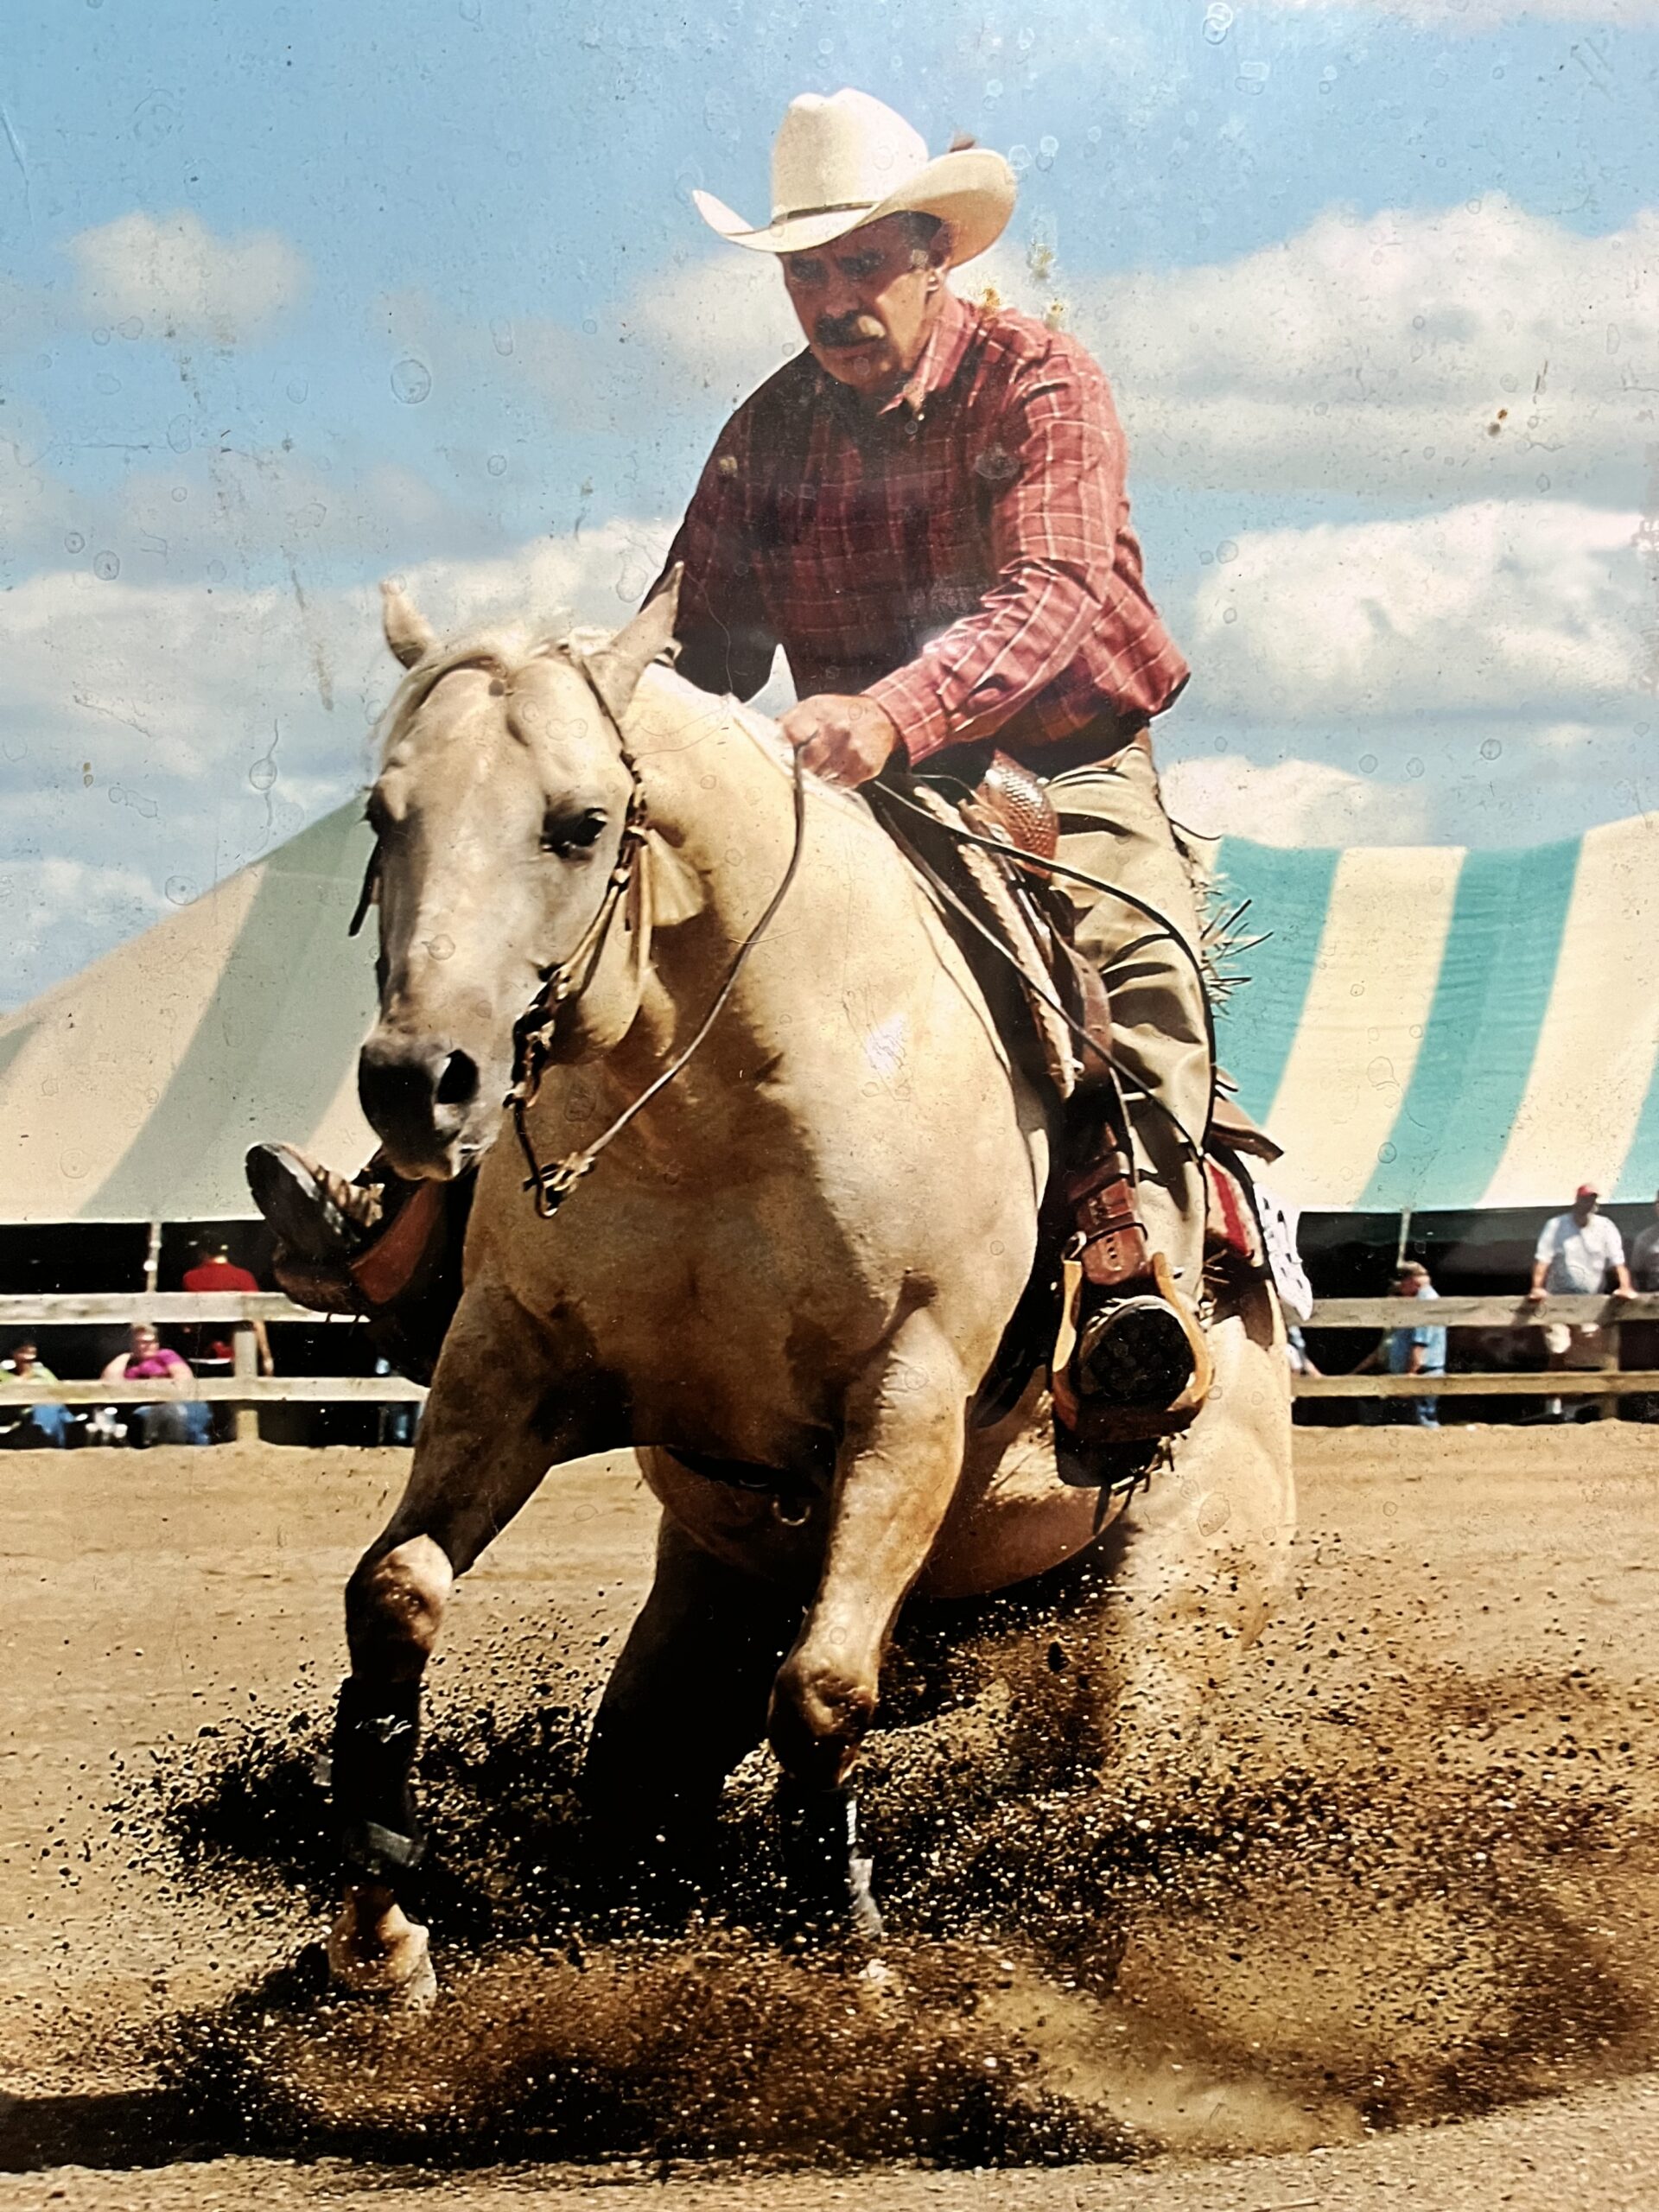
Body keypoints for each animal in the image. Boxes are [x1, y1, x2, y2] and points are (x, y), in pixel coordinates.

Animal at [325, 576, 1296, 2002]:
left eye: (580, 823)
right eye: (384, 816)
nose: (418, 1083)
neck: (715, 1104)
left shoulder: (909, 1393)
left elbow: (828, 1685)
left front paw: (846, 1958)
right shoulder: (512, 1359)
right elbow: (396, 1593)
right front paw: (382, 1935)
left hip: (1169, 1625)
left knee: (1106, 1794)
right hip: (711, 1614)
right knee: (642, 1782)